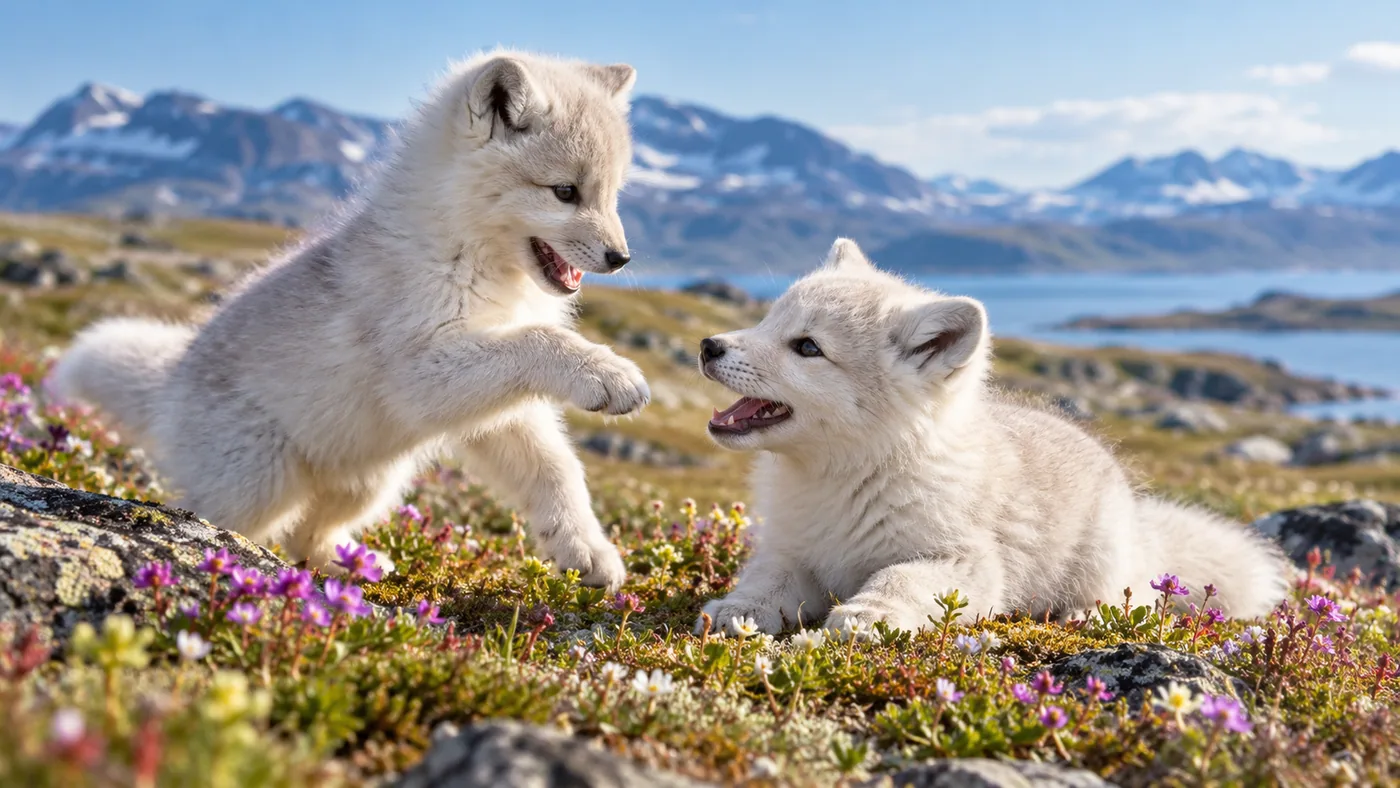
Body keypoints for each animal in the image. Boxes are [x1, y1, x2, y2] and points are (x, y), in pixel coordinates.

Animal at [50, 50, 650, 589]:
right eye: (565, 191)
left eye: (614, 194)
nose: (622, 258)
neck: (467, 253)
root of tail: (171, 383)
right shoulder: (419, 375)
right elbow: (540, 339)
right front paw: (609, 373)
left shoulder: (498, 410)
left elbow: (557, 469)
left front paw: (585, 551)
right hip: (260, 483)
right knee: (215, 517)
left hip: (371, 483)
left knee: (307, 537)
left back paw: (351, 568)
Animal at [695, 239, 1289, 635]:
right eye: (768, 320)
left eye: (808, 347)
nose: (708, 345)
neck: (843, 476)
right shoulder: (791, 551)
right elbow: (767, 581)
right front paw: (737, 609)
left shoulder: (965, 561)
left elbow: (899, 579)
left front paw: (868, 615)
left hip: (1102, 557)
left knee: (1123, 593)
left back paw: (1082, 614)